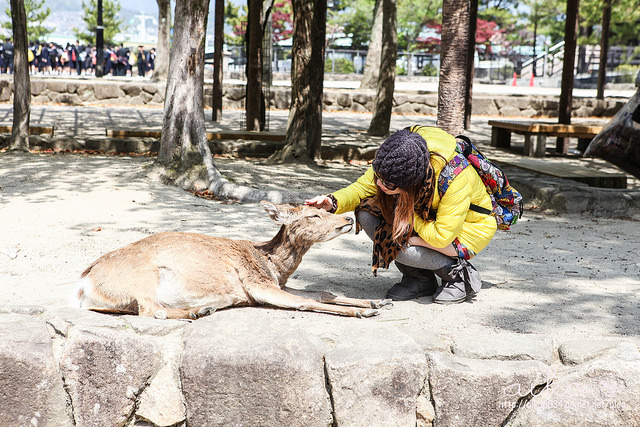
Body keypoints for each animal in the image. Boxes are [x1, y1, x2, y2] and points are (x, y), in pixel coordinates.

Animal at [70, 202, 390, 320]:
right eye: (314, 215)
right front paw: (364, 311)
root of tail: (84, 284)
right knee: (150, 310)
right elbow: (307, 301)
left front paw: (378, 302)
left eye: (325, 210)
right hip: (143, 277)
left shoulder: (274, 283)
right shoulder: (257, 283)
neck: (272, 265)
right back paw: (200, 310)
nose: (348, 219)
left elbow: (322, 291)